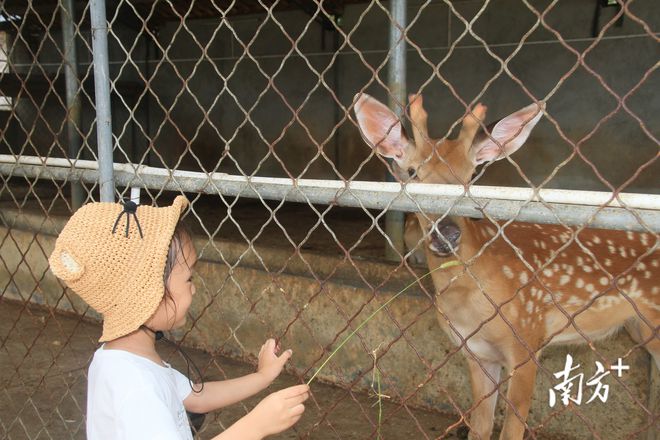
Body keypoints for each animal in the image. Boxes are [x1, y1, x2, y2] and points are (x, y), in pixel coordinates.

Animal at [356, 91, 660, 438]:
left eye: (472, 176)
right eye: (412, 173)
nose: (448, 232)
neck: (470, 300)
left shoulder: (527, 338)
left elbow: (512, 429)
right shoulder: (476, 352)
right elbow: (480, 426)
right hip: (639, 326)